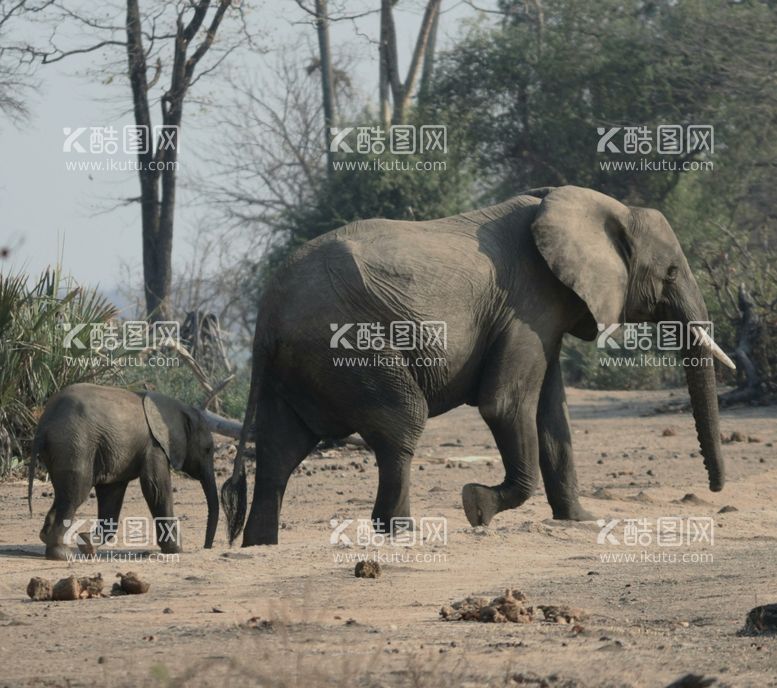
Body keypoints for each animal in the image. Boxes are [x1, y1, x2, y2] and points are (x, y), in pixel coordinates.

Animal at [28, 384, 217, 560]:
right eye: (208, 450)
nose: (206, 547)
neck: (180, 407)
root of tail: (45, 421)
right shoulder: (154, 446)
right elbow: (156, 489)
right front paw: (175, 550)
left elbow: (111, 495)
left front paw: (87, 544)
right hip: (74, 444)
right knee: (75, 493)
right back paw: (61, 554)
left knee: (63, 491)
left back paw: (46, 538)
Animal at [220, 185, 732, 544]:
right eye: (670, 273)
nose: (716, 489)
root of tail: (265, 316)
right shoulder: (528, 303)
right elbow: (505, 404)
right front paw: (477, 507)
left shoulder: (544, 312)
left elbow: (551, 413)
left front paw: (580, 520)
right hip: (347, 346)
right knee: (401, 422)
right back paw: (403, 533)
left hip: (300, 363)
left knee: (280, 449)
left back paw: (260, 546)